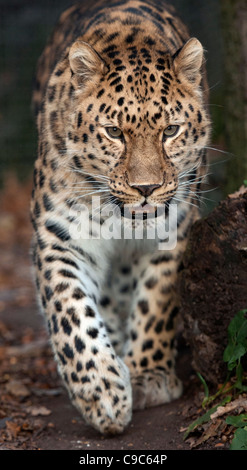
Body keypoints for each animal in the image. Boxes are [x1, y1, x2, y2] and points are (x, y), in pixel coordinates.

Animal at [30, 0, 210, 436]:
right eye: (114, 132)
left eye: (171, 130)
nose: (146, 188)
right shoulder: (59, 235)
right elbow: (70, 312)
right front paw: (101, 391)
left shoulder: (174, 230)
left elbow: (158, 301)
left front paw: (147, 376)